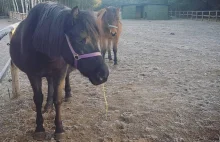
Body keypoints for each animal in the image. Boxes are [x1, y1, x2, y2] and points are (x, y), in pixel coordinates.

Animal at [9, 1, 109, 140]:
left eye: (97, 38)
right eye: (81, 39)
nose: (103, 74)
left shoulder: (60, 72)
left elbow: (58, 98)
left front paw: (59, 129)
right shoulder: (33, 75)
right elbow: (38, 99)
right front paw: (39, 128)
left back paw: (67, 95)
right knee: (50, 84)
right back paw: (48, 106)